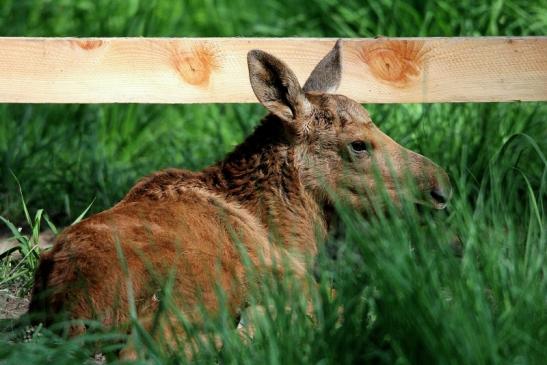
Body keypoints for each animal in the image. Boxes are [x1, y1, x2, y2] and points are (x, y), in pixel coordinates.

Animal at [27, 40, 452, 356]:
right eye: (359, 145)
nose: (442, 189)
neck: (291, 229)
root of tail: (72, 303)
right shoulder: (295, 277)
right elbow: (356, 302)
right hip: (193, 293)